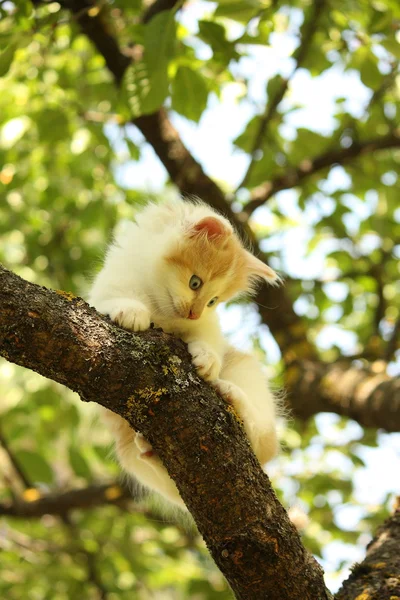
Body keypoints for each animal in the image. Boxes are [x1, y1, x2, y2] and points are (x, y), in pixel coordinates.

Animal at [89, 199, 280, 508]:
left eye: (213, 301)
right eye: (195, 283)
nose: (193, 312)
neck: (160, 309)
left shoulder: (208, 325)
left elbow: (207, 339)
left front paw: (207, 361)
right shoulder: (107, 289)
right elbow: (117, 299)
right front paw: (132, 312)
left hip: (246, 371)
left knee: (263, 440)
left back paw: (232, 397)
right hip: (128, 450)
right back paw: (149, 447)